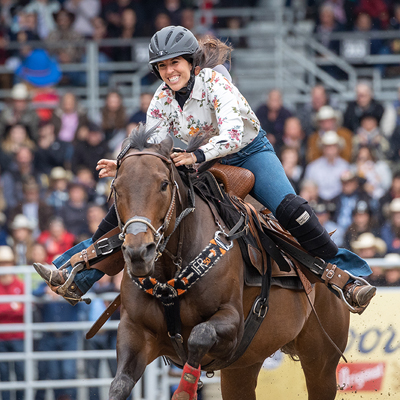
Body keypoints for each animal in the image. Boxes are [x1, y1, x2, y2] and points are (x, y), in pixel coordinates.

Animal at [108, 129, 348, 400]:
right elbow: (120, 384)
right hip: (243, 368)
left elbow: (200, 335)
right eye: (116, 187)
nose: (139, 252)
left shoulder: (233, 325)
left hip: (322, 361)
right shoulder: (135, 331)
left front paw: (184, 391)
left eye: (163, 184)